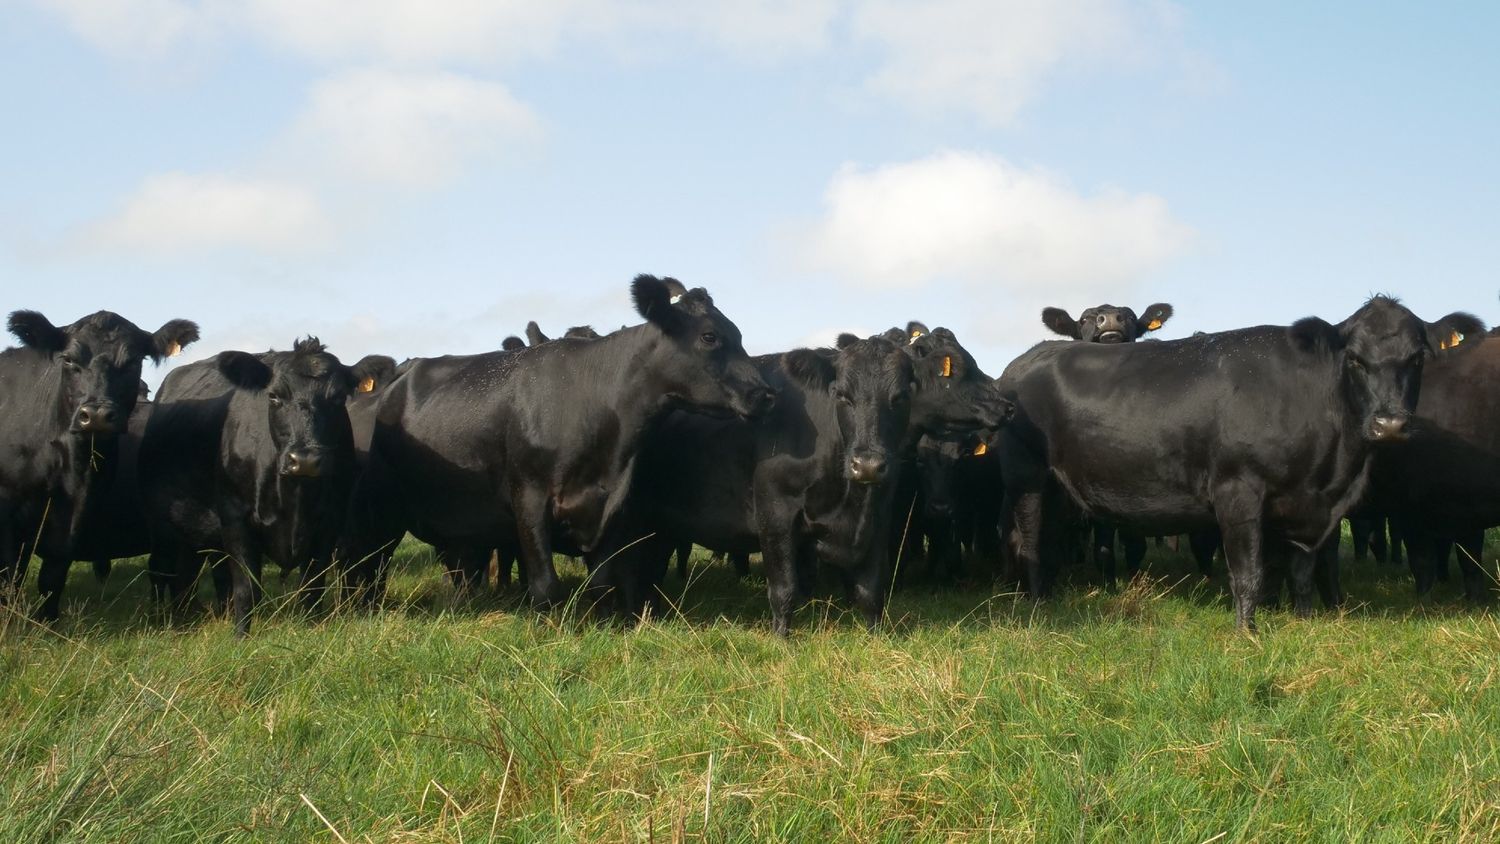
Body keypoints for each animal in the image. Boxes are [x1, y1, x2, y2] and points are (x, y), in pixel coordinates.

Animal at [0, 310, 198, 620]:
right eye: (69, 360)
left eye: (133, 362)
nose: (96, 415)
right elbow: (10, 585)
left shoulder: (71, 523)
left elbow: (51, 581)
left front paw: (47, 622)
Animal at [141, 337, 396, 635]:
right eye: (274, 396)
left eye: (338, 397)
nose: (305, 460)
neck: (294, 497)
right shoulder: (235, 520)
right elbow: (247, 589)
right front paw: (241, 637)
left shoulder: (329, 524)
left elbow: (311, 586)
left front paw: (309, 627)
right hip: (162, 524)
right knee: (164, 570)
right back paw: (170, 618)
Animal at [351, 274, 774, 611]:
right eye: (709, 336)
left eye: (739, 335)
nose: (766, 394)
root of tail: (403, 371)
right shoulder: (527, 496)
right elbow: (545, 584)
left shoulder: (610, 505)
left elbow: (603, 582)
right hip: (386, 508)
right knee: (378, 560)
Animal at [996, 293, 1476, 629]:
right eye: (1355, 359)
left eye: (1418, 358)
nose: (1390, 423)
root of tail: (1028, 357)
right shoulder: (1237, 490)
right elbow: (1249, 571)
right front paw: (1248, 631)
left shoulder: (1306, 504)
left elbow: (1301, 570)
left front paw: (1304, 622)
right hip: (1029, 477)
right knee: (1030, 540)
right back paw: (1037, 606)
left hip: (1061, 487)